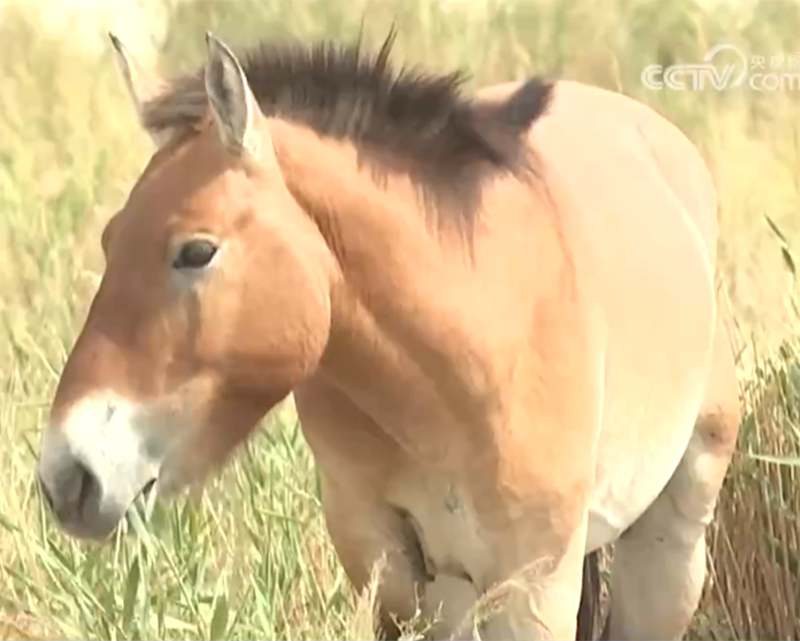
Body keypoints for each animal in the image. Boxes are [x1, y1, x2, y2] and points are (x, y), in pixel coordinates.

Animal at [36, 30, 736, 640]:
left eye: (196, 250)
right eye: (111, 240)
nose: (67, 476)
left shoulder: (534, 584)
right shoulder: (389, 566)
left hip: (669, 545)